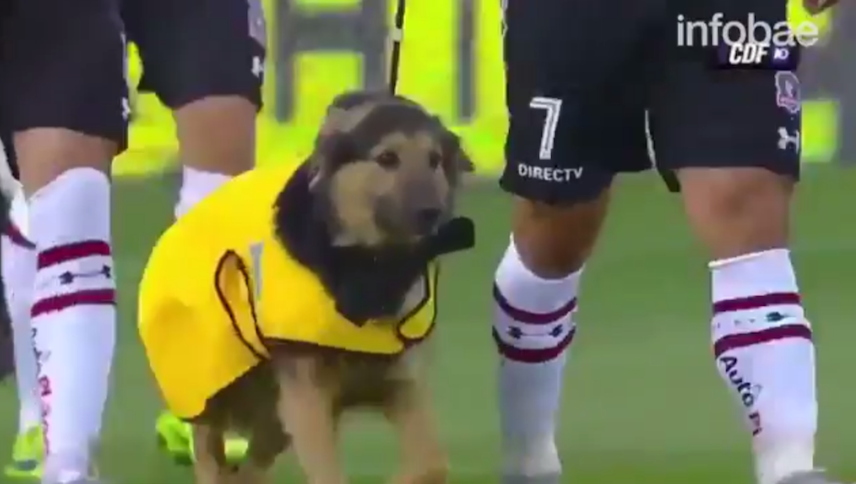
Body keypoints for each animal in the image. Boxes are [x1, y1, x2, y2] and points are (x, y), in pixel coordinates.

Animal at [142, 91, 475, 484]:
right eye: (387, 158)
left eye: (434, 160)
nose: (431, 212)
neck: (366, 267)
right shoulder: (309, 400)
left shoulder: (401, 385)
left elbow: (430, 465)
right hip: (213, 393)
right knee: (210, 458)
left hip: (273, 418)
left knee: (248, 470)